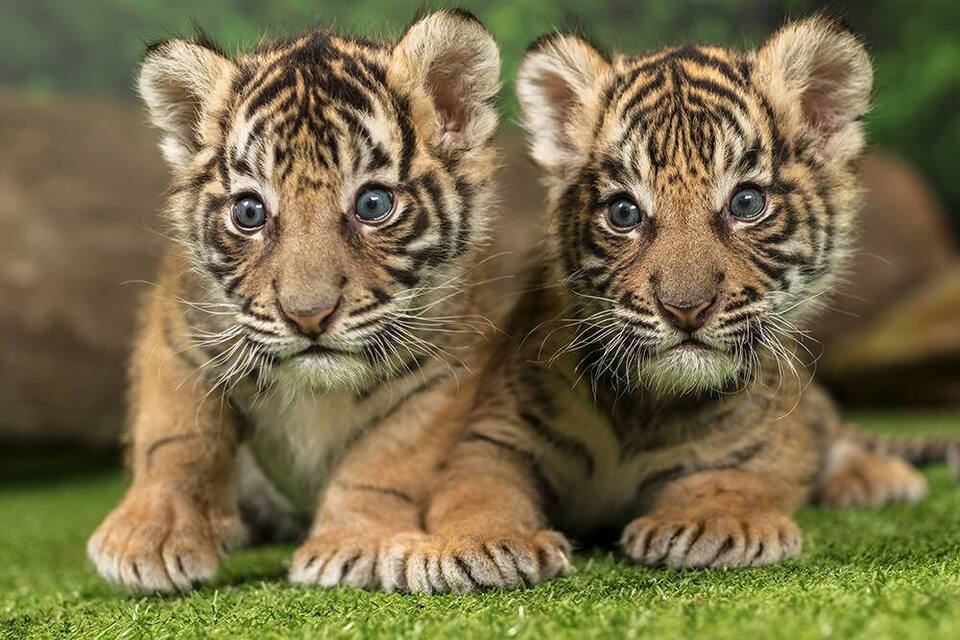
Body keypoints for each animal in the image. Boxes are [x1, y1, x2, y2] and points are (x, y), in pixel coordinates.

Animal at [86, 9, 521, 594]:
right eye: (249, 212)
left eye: (373, 204)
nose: (307, 315)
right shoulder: (178, 328)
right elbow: (176, 435)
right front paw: (151, 537)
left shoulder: (445, 368)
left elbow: (386, 460)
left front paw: (351, 544)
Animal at [368, 17, 960, 594]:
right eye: (624, 212)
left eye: (747, 202)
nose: (686, 309)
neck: (645, 410)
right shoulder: (496, 431)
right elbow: (477, 487)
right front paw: (479, 545)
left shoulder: (762, 443)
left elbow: (737, 479)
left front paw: (709, 526)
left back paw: (874, 477)